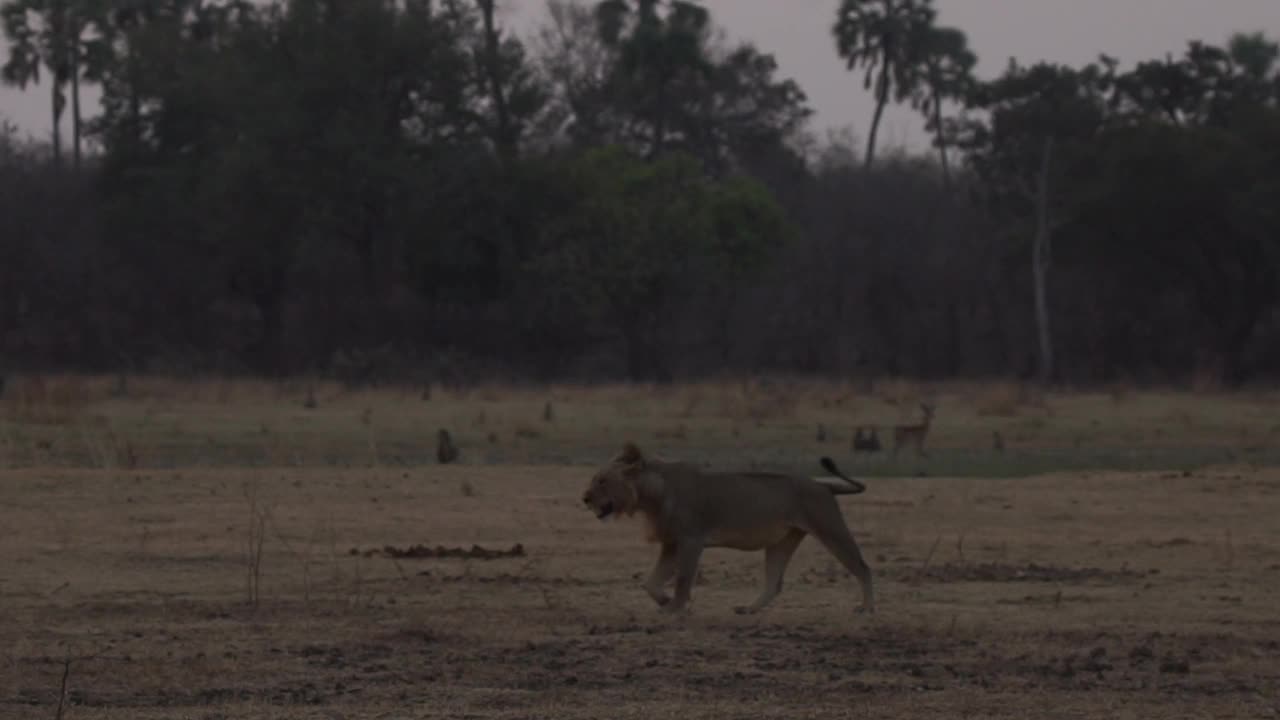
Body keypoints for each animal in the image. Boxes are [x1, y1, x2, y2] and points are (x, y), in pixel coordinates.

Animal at [583, 440, 875, 614]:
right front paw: (666, 602)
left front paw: (676, 607)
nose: (584, 498)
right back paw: (748, 609)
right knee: (774, 583)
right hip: (781, 543)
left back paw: (866, 608)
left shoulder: (691, 540)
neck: (651, 496)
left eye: (602, 481)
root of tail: (823, 485)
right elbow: (650, 582)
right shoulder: (672, 542)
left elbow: (683, 577)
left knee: (863, 567)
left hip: (831, 529)